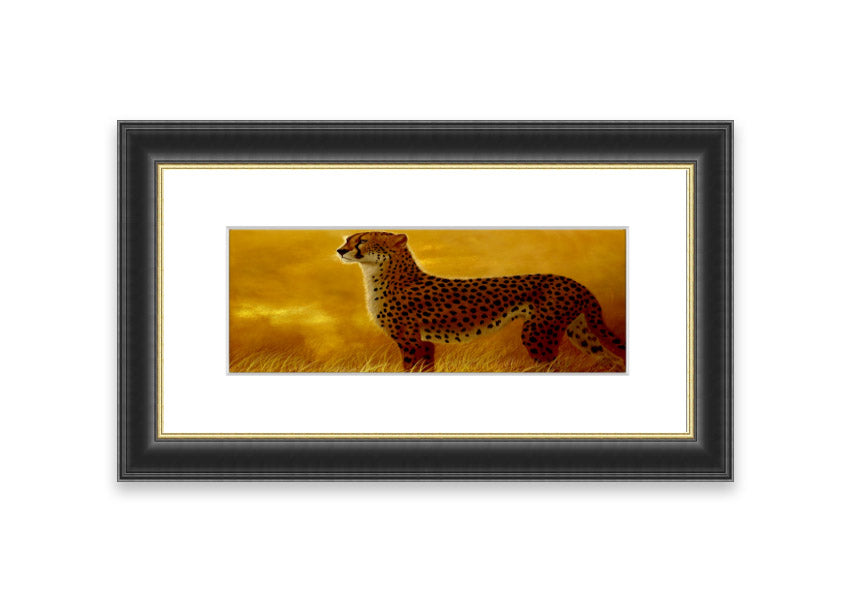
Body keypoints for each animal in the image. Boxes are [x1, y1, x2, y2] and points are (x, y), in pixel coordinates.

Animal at [337, 231, 626, 372]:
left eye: (362, 241)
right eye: (348, 239)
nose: (340, 250)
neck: (379, 272)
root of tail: (573, 281)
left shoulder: (410, 341)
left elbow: (411, 369)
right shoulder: (424, 341)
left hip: (538, 332)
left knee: (554, 366)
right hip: (579, 331)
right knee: (611, 358)